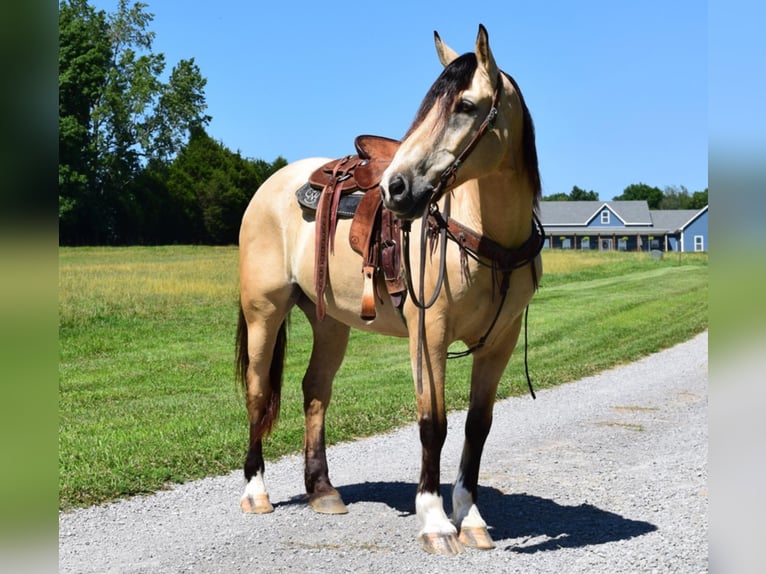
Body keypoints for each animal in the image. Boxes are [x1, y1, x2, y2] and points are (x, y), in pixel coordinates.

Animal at [237, 23, 544, 560]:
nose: (396, 188)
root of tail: (269, 186)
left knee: (315, 391)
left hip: (329, 322)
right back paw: (256, 492)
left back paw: (323, 491)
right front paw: (436, 522)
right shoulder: (430, 335)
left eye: (467, 106)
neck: (484, 234)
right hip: (264, 313)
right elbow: (433, 424)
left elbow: (477, 426)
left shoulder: (499, 344)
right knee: (258, 393)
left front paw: (470, 517)